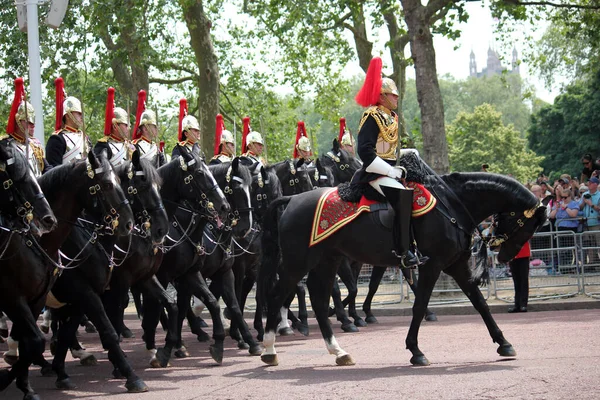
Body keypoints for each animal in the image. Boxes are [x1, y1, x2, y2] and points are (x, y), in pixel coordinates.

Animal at [255, 170, 548, 368]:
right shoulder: (433, 265)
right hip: (298, 262)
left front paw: (504, 343)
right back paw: (269, 349)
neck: (451, 204)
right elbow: (419, 304)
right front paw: (415, 350)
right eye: (528, 225)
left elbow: (480, 304)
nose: (506, 257)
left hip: (327, 261)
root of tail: (291, 199)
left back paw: (338, 351)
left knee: (317, 299)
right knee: (277, 295)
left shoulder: (456, 266)